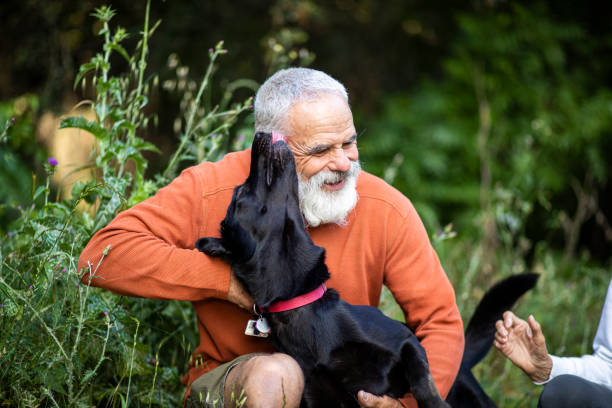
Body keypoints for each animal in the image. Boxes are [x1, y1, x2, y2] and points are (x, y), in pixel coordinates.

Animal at [196, 132, 536, 406]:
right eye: (240, 192)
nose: (261, 135)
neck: (304, 309)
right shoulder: (320, 398)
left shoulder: (406, 342)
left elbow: (422, 380)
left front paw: (434, 403)